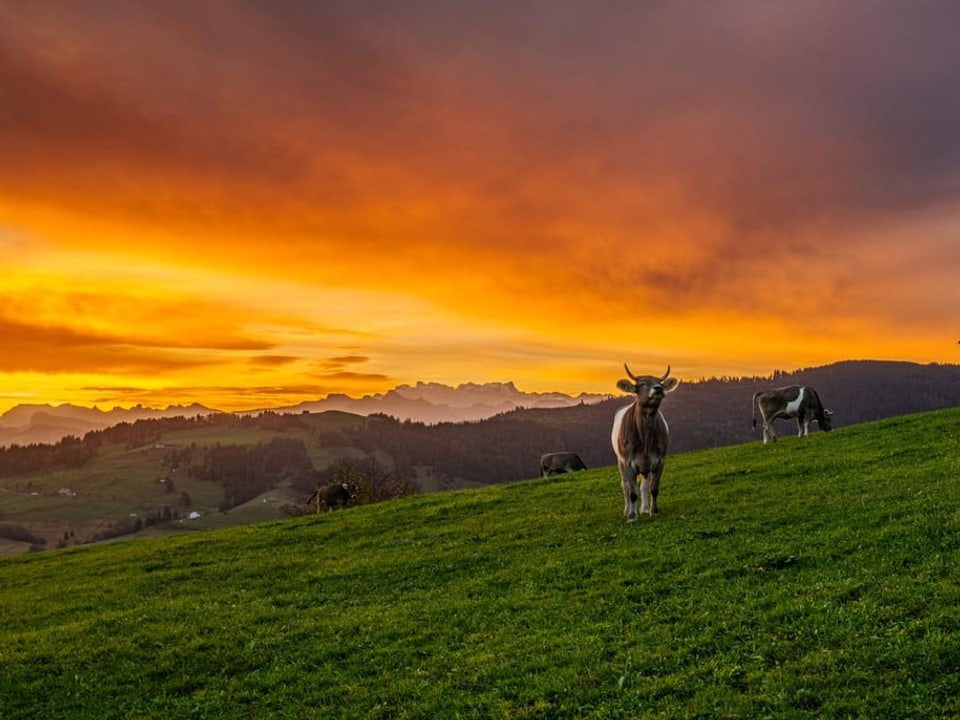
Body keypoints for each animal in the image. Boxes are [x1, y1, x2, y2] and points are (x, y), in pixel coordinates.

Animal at [612, 362, 680, 520]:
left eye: (660, 382)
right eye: (642, 383)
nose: (659, 388)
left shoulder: (659, 460)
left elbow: (653, 488)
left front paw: (653, 511)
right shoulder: (628, 462)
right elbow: (631, 491)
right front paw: (632, 516)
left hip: (646, 467)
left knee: (643, 486)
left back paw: (643, 509)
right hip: (620, 461)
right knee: (625, 485)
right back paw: (628, 510)